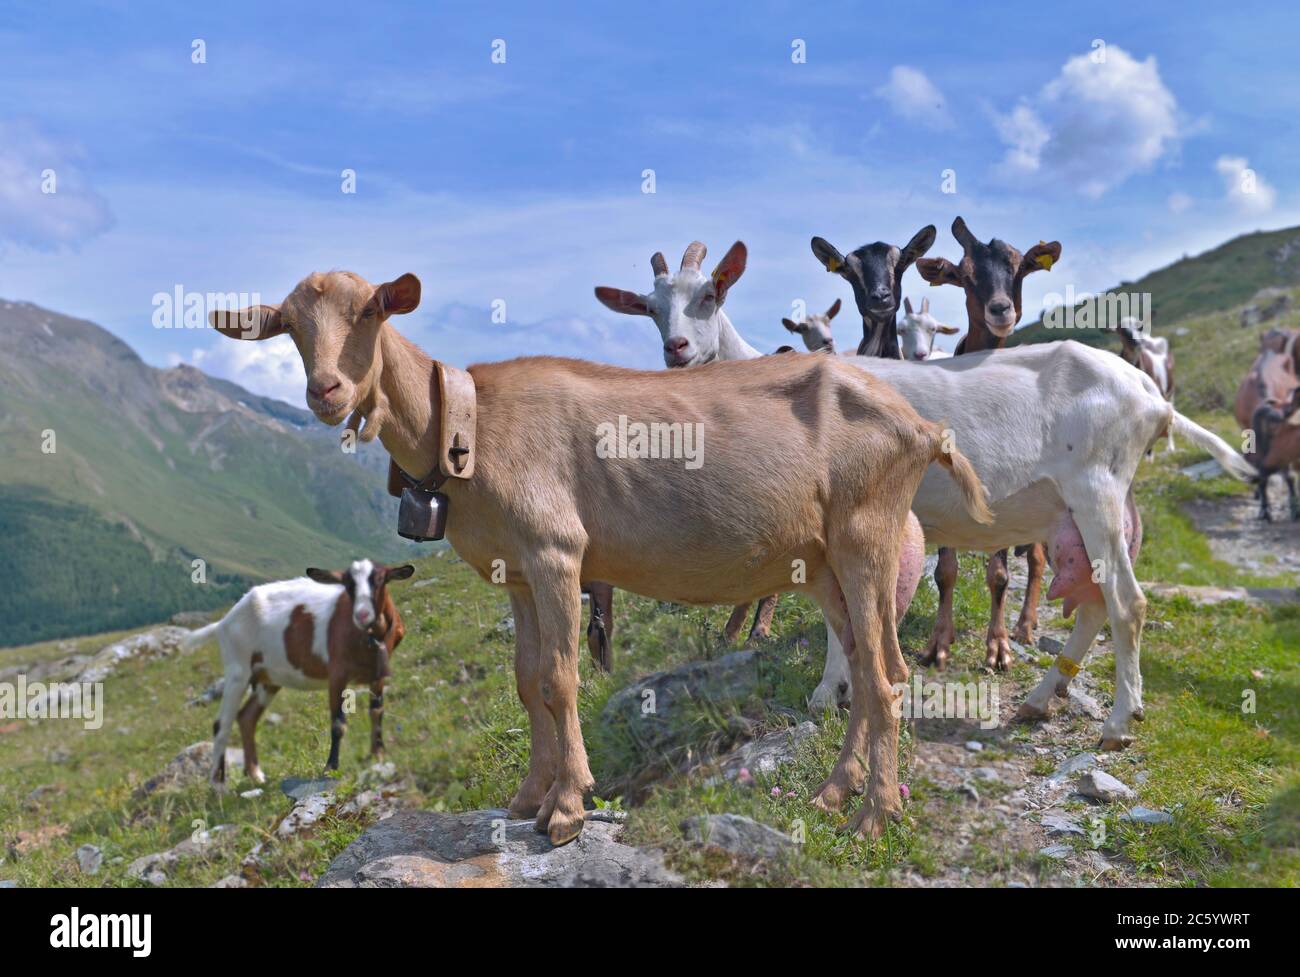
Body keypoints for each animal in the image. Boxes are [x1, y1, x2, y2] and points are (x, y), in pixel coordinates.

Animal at [181, 559, 413, 786]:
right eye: (348, 584)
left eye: (380, 580)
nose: (362, 614)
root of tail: (223, 622)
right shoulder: (337, 673)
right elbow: (338, 723)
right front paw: (330, 769)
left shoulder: (378, 675)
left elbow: (377, 711)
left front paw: (378, 755)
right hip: (237, 670)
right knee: (221, 724)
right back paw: (218, 785)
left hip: (268, 678)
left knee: (246, 717)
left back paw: (256, 775)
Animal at [212, 269, 992, 844]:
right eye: (289, 326)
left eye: (372, 310)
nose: (325, 390)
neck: (469, 425)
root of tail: (922, 427)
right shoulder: (517, 573)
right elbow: (526, 681)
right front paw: (526, 797)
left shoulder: (556, 552)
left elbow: (561, 678)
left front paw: (566, 808)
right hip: (825, 557)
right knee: (860, 661)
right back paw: (834, 792)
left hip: (868, 534)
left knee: (888, 676)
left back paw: (875, 814)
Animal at [910, 216, 1060, 669]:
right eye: (965, 275)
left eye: (1020, 268)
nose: (1000, 310)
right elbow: (945, 572)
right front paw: (938, 644)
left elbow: (999, 575)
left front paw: (998, 648)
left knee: (1037, 558)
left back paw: (1025, 626)